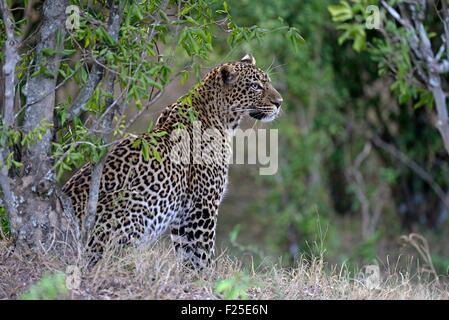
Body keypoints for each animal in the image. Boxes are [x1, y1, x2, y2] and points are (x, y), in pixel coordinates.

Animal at [61, 53, 282, 268]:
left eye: (268, 82)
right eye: (255, 86)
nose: (279, 102)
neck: (222, 119)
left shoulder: (182, 218)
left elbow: (187, 257)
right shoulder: (202, 207)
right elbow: (203, 256)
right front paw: (210, 278)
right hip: (134, 211)